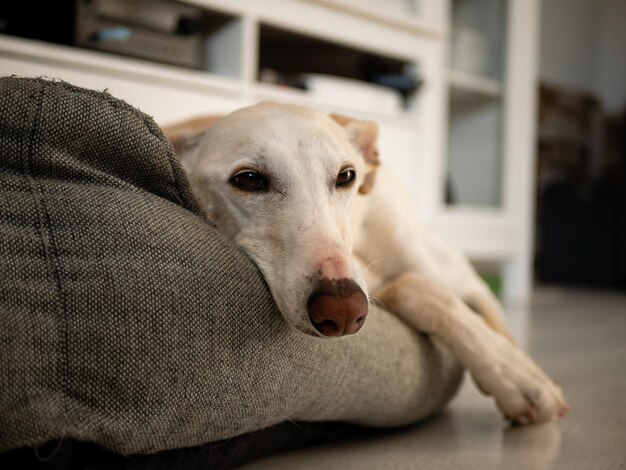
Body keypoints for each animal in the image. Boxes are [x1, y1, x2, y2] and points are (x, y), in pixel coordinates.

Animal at [163, 103, 568, 426]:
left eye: (346, 176)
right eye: (248, 179)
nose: (343, 311)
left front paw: (519, 377)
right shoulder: (369, 285)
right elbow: (416, 290)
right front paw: (513, 378)